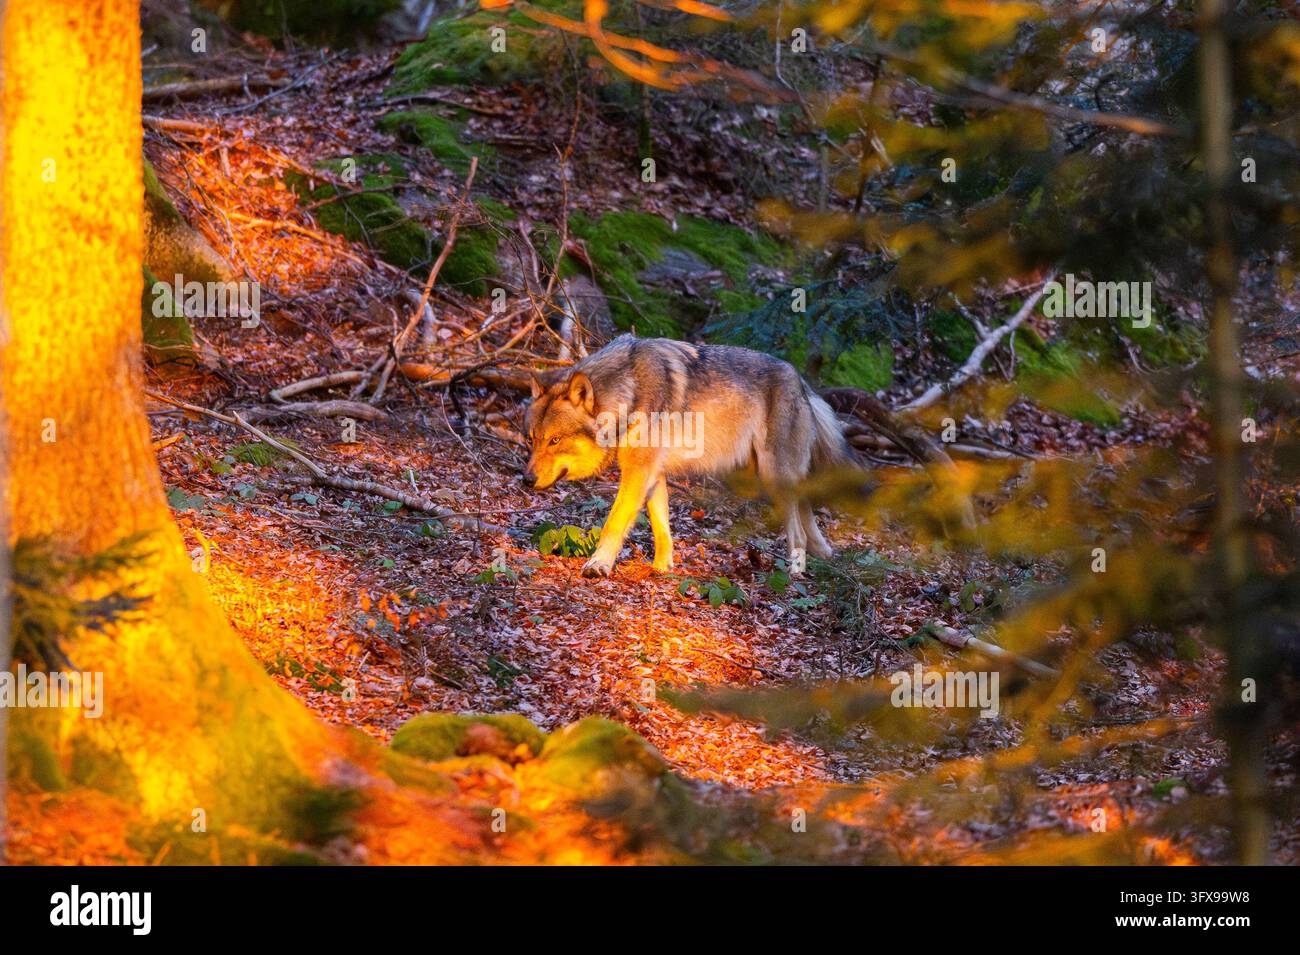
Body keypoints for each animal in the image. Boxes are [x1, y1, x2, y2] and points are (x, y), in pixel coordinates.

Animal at [523, 335, 853, 577]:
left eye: (555, 440)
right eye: (532, 438)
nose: (526, 479)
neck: (627, 391)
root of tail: (801, 381)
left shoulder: (638, 472)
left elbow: (613, 523)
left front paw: (599, 565)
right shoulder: (653, 473)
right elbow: (661, 527)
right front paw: (662, 568)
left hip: (773, 477)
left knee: (797, 532)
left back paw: (793, 576)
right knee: (805, 507)